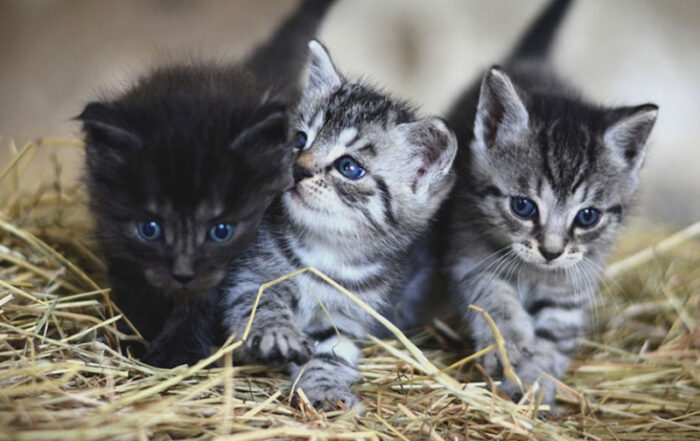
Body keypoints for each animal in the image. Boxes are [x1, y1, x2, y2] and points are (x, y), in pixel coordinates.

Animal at [79, 0, 336, 368]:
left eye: (221, 231)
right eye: (150, 229)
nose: (183, 273)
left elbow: (202, 301)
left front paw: (177, 353)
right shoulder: (116, 243)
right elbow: (135, 291)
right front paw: (136, 338)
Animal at [221, 41, 456, 410]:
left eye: (349, 167)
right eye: (299, 140)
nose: (299, 169)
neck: (327, 250)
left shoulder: (348, 318)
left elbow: (331, 354)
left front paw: (326, 390)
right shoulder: (248, 275)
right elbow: (260, 302)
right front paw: (276, 332)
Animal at [442, 0, 656, 406]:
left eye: (587, 217)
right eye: (523, 207)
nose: (551, 252)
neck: (534, 273)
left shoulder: (573, 283)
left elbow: (554, 334)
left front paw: (536, 382)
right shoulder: (466, 247)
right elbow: (492, 295)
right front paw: (509, 344)